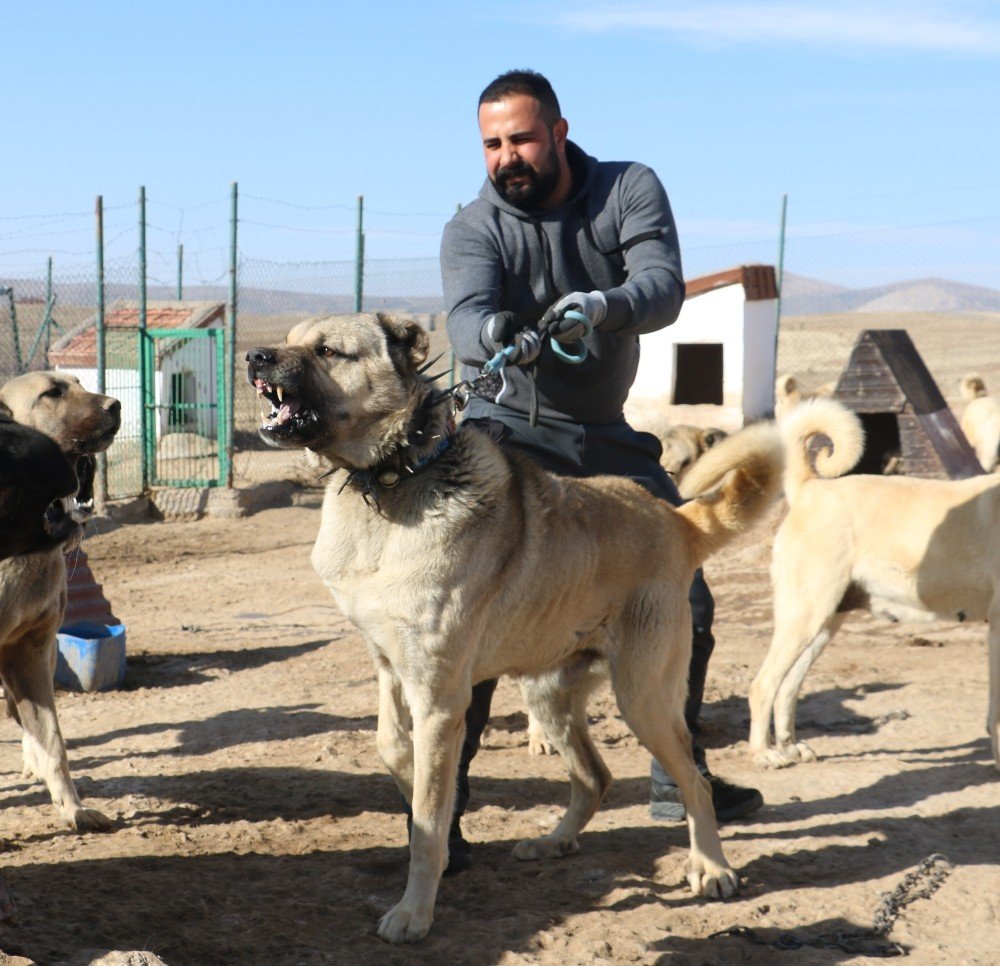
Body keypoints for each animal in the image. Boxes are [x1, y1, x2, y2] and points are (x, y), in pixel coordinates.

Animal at [0, 370, 120, 832]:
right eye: (51, 393)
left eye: (79, 382)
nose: (115, 406)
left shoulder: (28, 653)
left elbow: (54, 742)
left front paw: (73, 809)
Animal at [246, 316, 784, 944]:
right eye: (289, 340)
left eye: (328, 351)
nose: (254, 357)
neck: (396, 477)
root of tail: (673, 519)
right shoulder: (391, 667)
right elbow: (395, 752)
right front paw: (423, 795)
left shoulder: (440, 695)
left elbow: (427, 820)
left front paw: (414, 911)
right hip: (548, 694)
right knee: (595, 777)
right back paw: (554, 842)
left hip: (643, 697)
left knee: (694, 783)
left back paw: (712, 868)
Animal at [752, 398, 1000, 776]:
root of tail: (812, 487)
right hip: (805, 616)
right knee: (763, 685)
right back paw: (762, 754)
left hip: (824, 624)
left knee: (788, 688)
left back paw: (789, 746)